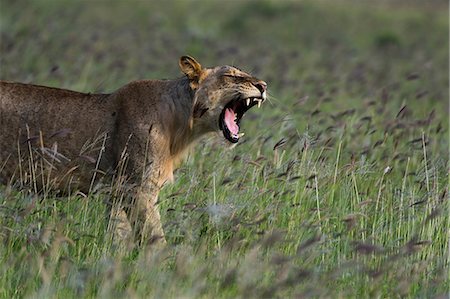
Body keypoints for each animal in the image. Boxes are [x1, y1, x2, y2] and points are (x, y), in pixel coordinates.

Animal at [0, 55, 268, 246]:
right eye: (231, 76)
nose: (263, 85)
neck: (181, 125)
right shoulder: (138, 189)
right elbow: (155, 237)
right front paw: (163, 269)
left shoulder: (116, 192)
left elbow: (119, 234)